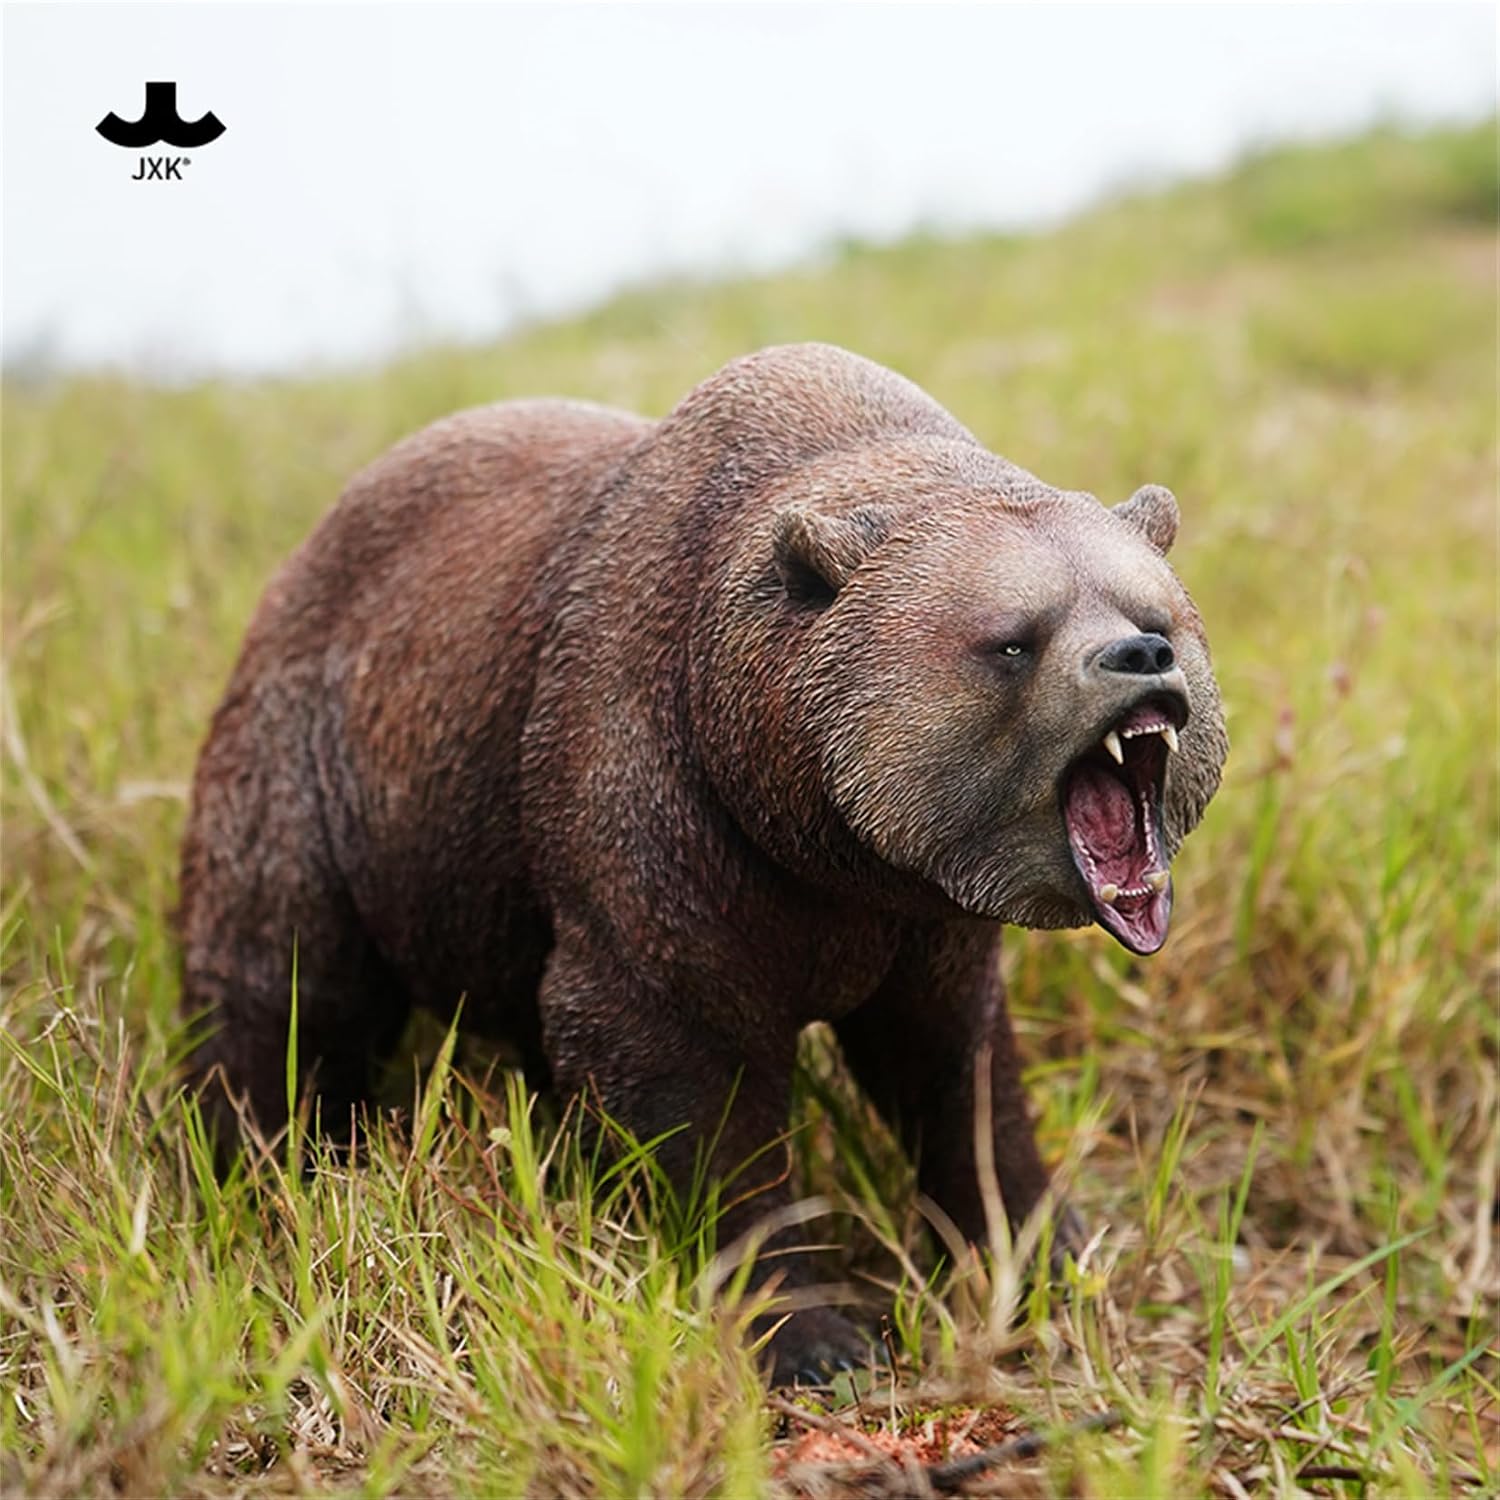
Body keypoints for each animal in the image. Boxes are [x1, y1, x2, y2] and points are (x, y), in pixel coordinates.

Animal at [179, 343, 1227, 1382]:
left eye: (1154, 612)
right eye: (1014, 640)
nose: (1140, 657)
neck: (817, 832)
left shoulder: (926, 918)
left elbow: (956, 1071)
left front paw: (1049, 1259)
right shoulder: (660, 815)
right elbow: (687, 1076)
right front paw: (815, 1336)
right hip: (317, 763)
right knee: (280, 974)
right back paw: (250, 1161)